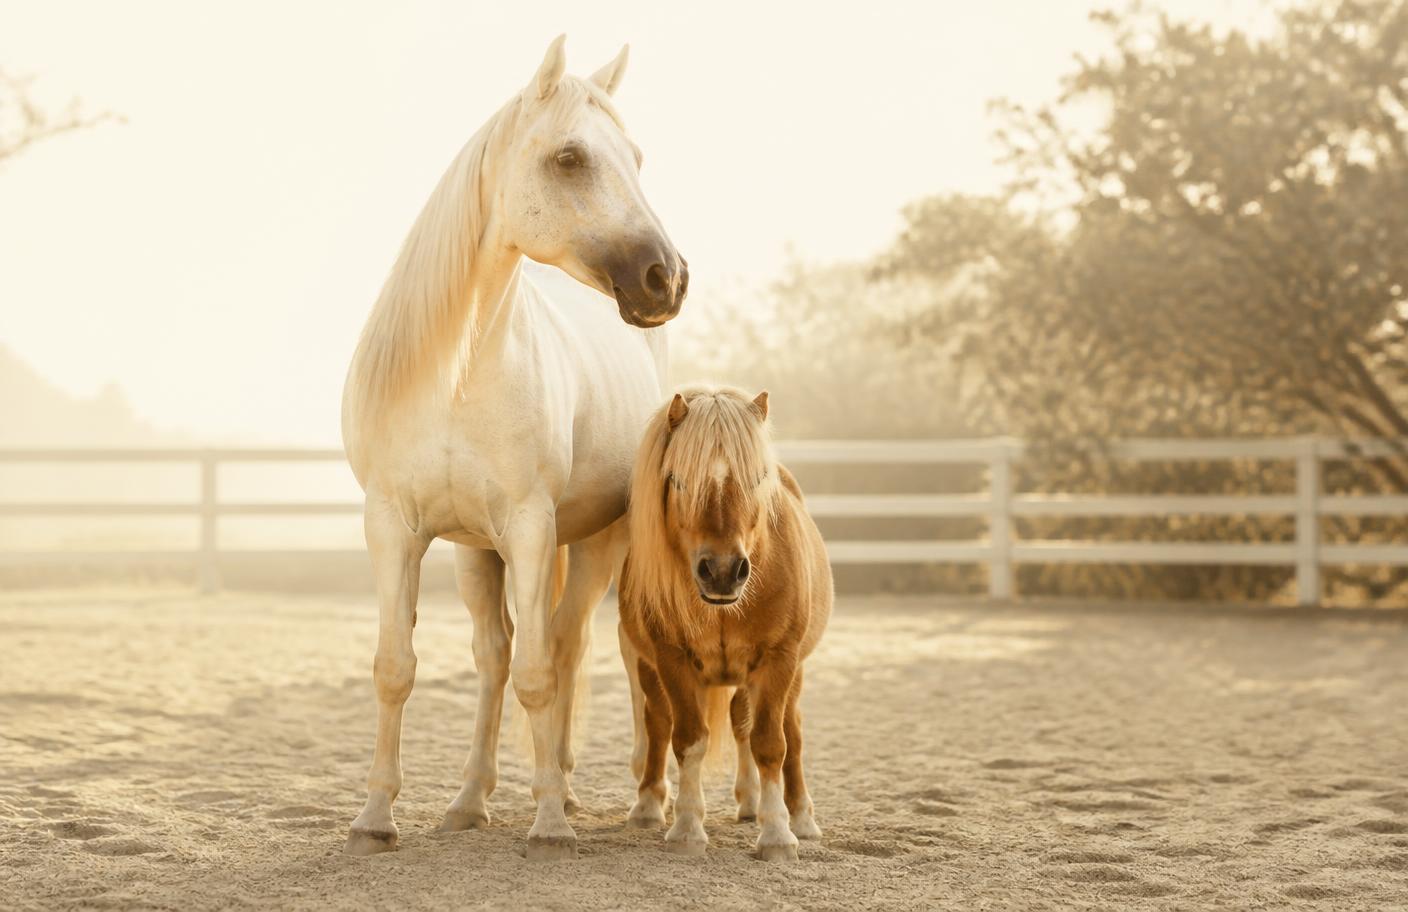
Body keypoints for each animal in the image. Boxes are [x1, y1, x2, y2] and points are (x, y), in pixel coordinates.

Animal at [340, 35, 687, 860]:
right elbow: (398, 667)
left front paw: (552, 821)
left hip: (602, 543)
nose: (665, 278)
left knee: (583, 648)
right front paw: (376, 817)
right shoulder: (394, 526)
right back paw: (473, 799)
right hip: (478, 552)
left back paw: (640, 804)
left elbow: (538, 673)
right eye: (569, 157)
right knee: (501, 654)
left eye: (635, 157)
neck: (456, 372)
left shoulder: (532, 528)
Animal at [616, 386, 834, 861]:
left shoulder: (779, 660)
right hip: (649, 667)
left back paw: (797, 815)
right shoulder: (671, 661)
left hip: (791, 673)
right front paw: (686, 828)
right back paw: (649, 805)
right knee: (660, 722)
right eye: (678, 478)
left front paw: (778, 835)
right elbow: (688, 739)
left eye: (757, 478)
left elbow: (771, 742)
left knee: (785, 730)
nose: (721, 570)